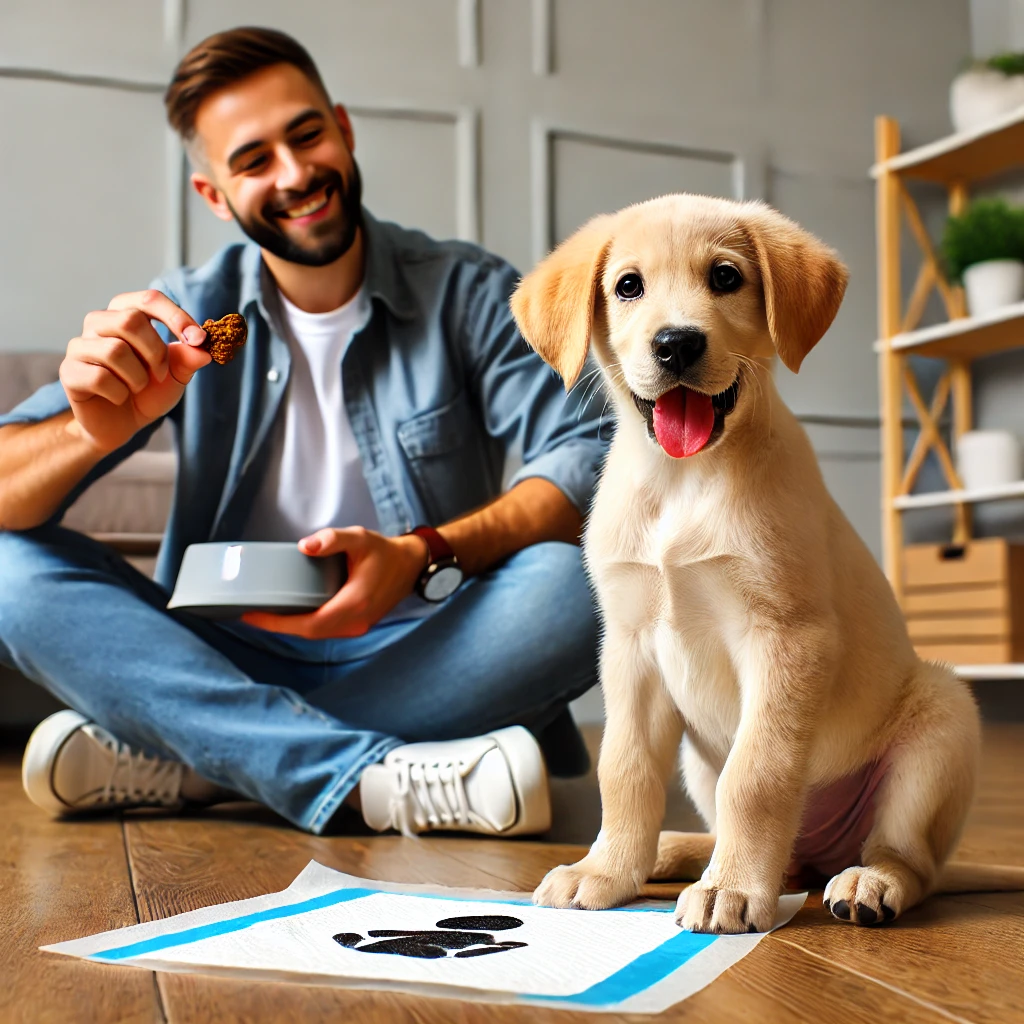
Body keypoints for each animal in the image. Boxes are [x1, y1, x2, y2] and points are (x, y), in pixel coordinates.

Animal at [512, 193, 1024, 937]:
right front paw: (606, 871)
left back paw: (862, 881)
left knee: (910, 860)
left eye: (725, 277)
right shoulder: (631, 649)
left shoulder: (787, 637)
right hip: (697, 754)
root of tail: (820, 851)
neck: (683, 481)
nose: (676, 343)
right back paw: (677, 853)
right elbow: (624, 768)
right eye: (629, 285)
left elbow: (756, 775)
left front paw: (729, 889)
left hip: (942, 715)